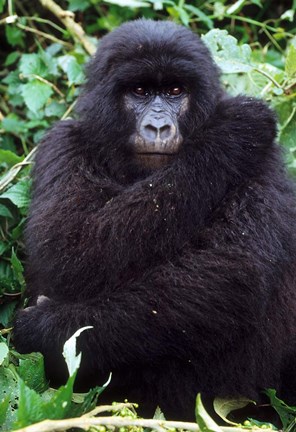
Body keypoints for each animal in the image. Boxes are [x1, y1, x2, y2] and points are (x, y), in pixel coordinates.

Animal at [13, 18, 296, 420]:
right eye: (140, 91)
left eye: (176, 91)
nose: (159, 128)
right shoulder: (60, 144)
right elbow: (70, 251)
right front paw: (235, 131)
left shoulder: (266, 160)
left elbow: (231, 270)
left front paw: (46, 329)